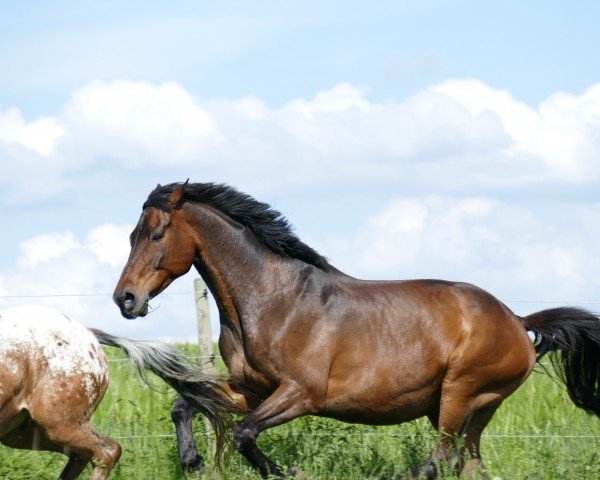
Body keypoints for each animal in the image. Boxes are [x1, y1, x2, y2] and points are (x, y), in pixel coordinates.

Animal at [112, 182, 600, 478]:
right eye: (132, 235)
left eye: (155, 235)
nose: (125, 299)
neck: (273, 299)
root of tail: (517, 321)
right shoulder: (251, 389)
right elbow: (185, 405)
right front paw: (193, 460)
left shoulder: (302, 394)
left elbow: (244, 433)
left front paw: (290, 472)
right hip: (470, 409)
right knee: (466, 464)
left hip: (461, 394)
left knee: (439, 460)